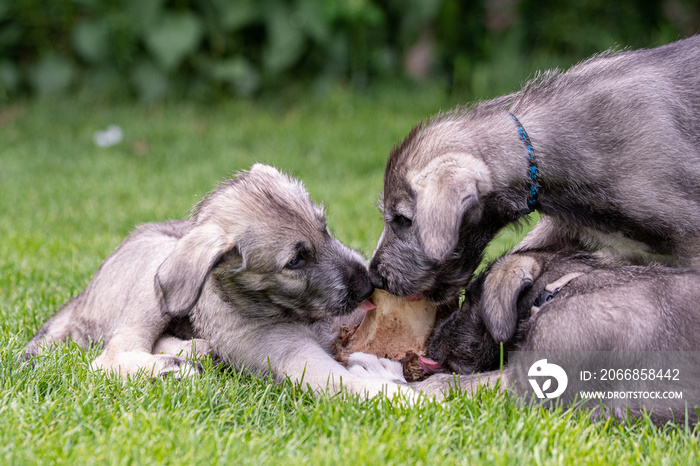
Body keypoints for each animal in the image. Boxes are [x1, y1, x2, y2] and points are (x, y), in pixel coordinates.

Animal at [24, 165, 412, 400]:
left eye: (325, 227)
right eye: (295, 261)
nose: (368, 285)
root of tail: (78, 301)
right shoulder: (298, 360)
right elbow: (358, 385)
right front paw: (409, 400)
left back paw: (192, 353)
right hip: (156, 269)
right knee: (108, 357)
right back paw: (171, 366)